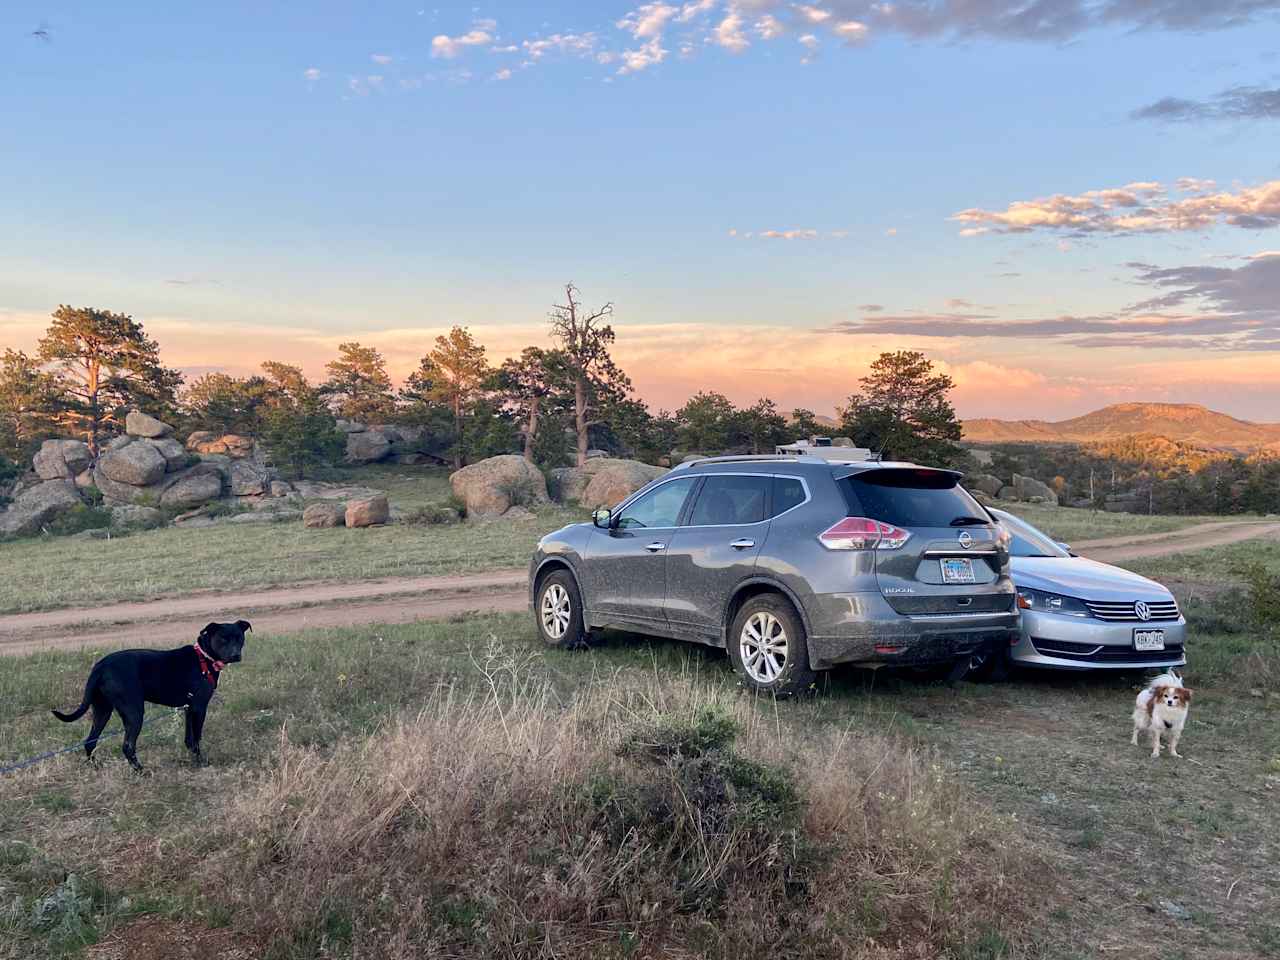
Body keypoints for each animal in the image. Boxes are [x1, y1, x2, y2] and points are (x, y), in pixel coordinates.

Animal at [51, 624, 249, 773]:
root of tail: (100, 666)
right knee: (127, 746)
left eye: (239, 637)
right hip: (134, 712)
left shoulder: (189, 708)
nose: (236, 655)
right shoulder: (199, 708)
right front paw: (201, 762)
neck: (204, 657)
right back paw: (140, 771)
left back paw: (96, 766)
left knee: (90, 741)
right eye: (223, 638)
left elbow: (189, 739)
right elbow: (197, 738)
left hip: (102, 709)